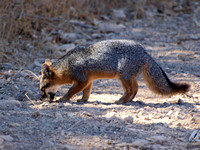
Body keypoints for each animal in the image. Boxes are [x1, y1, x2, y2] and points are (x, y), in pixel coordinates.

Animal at [38, 39, 189, 103]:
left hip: (123, 77)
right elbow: (86, 92)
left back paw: (121, 101)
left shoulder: (82, 80)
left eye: (42, 88)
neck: (68, 65)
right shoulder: (89, 81)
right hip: (129, 78)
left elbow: (70, 91)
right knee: (136, 88)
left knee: (130, 89)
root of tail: (145, 51)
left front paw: (63, 99)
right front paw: (83, 100)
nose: (40, 98)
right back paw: (128, 101)